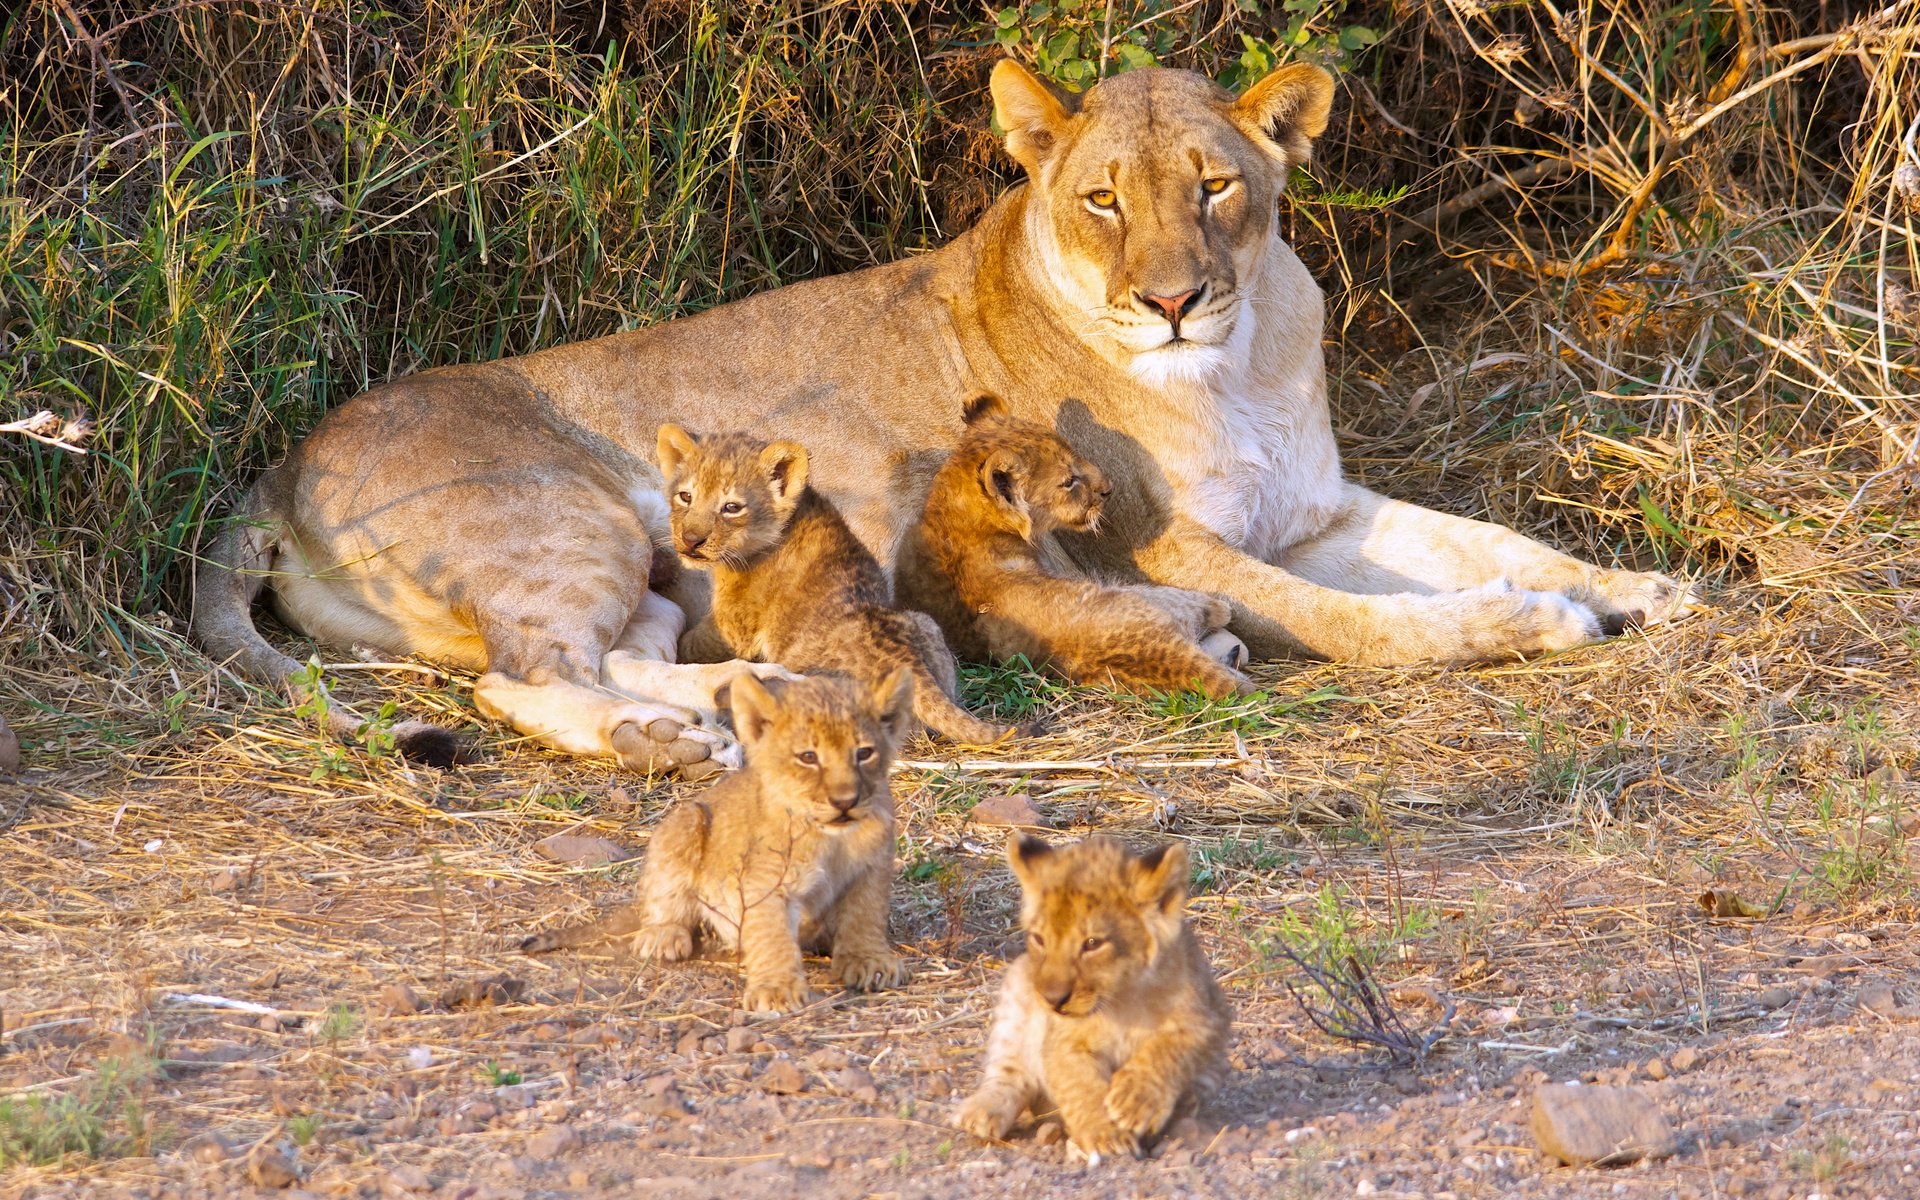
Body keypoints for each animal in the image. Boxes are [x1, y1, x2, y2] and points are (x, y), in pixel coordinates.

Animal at [191, 60, 1697, 775]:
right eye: (1102, 199)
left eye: (1215, 185)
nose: (1171, 300)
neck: (1240, 359)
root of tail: (276, 465)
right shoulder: (1151, 547)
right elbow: (1357, 620)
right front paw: (1518, 628)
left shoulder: (1318, 509)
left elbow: (1489, 539)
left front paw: (1640, 586)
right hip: (572, 523)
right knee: (524, 677)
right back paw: (663, 744)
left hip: (664, 579)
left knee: (630, 653)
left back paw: (739, 709)